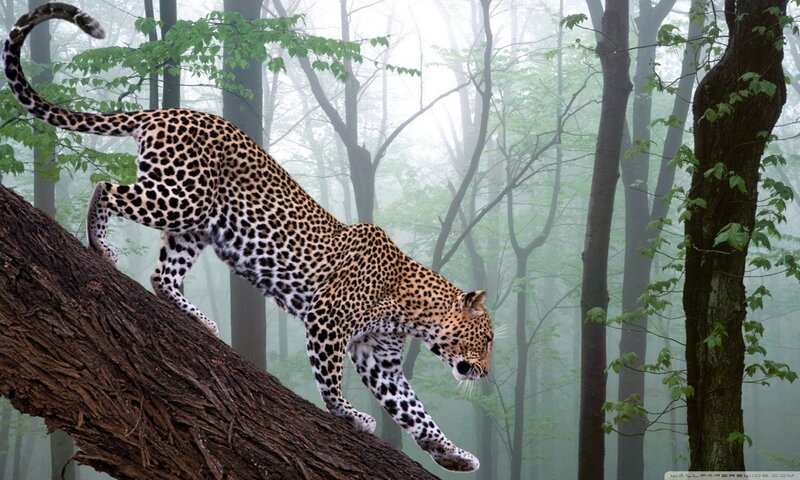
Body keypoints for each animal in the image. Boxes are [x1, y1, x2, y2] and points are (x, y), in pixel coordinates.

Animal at [3, 2, 495, 472]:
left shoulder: (381, 361)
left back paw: (199, 320)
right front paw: (349, 415)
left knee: (163, 275)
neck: (411, 310)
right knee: (106, 188)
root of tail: (170, 111)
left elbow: (416, 412)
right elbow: (330, 379)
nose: (486, 374)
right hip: (181, 197)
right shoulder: (327, 319)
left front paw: (453, 454)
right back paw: (100, 246)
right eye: (487, 339)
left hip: (196, 226)